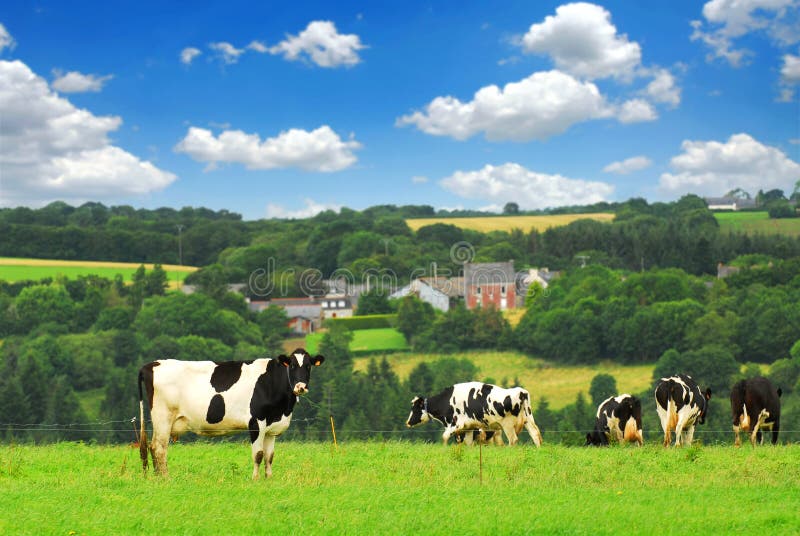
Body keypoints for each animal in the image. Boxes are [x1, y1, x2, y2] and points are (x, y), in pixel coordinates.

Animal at [139, 350, 324, 480]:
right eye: (292, 366)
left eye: (308, 366)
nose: (301, 387)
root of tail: (153, 364)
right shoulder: (256, 422)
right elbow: (258, 454)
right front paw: (255, 479)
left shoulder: (271, 428)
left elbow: (269, 456)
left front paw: (269, 478)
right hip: (163, 417)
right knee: (158, 447)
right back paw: (165, 478)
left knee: (153, 447)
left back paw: (158, 477)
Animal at [406, 384, 544, 446]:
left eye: (415, 409)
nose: (408, 422)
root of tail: (520, 391)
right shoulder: (468, 427)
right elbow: (467, 443)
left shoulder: (456, 425)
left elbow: (444, 437)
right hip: (528, 419)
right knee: (535, 436)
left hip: (508, 424)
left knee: (513, 440)